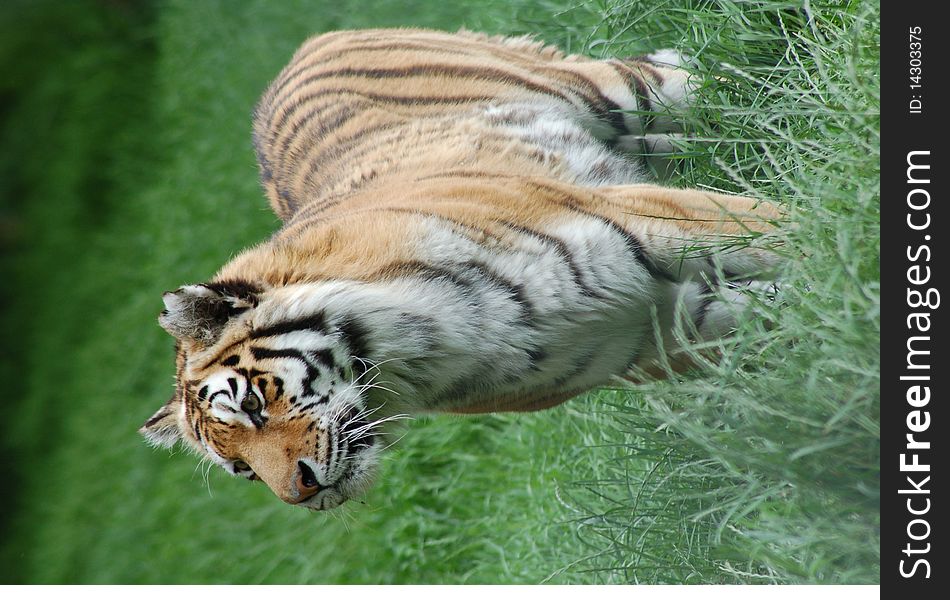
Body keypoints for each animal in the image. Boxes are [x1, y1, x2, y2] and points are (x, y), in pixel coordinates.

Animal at [139, 28, 780, 510]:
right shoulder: (657, 333)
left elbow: (782, 235)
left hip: (618, 92)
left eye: (252, 405)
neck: (428, 351)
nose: (300, 494)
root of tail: (299, 53)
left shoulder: (644, 225)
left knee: (716, 79)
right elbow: (772, 321)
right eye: (240, 469)